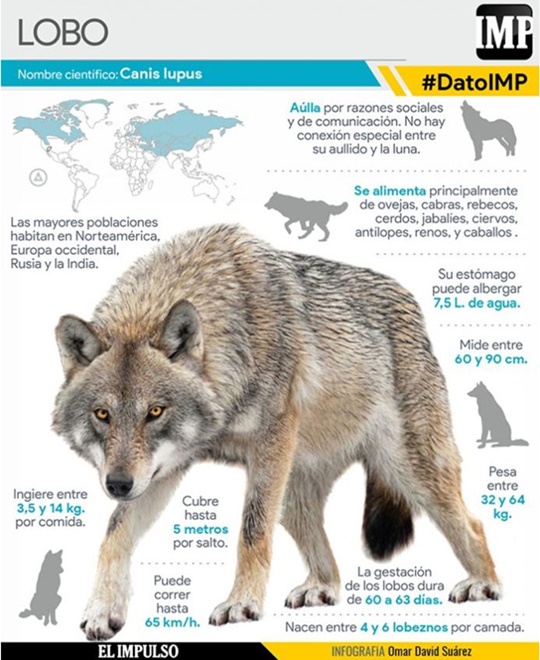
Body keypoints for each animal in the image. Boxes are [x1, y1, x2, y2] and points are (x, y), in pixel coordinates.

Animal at [53, 224, 500, 641]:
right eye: (102, 414)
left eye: (155, 412)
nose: (117, 484)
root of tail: (412, 305)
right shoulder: (165, 468)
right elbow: (115, 533)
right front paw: (102, 610)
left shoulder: (267, 443)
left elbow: (251, 532)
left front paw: (242, 604)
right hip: (292, 498)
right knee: (330, 564)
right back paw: (320, 588)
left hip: (408, 471)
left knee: (473, 524)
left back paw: (484, 584)